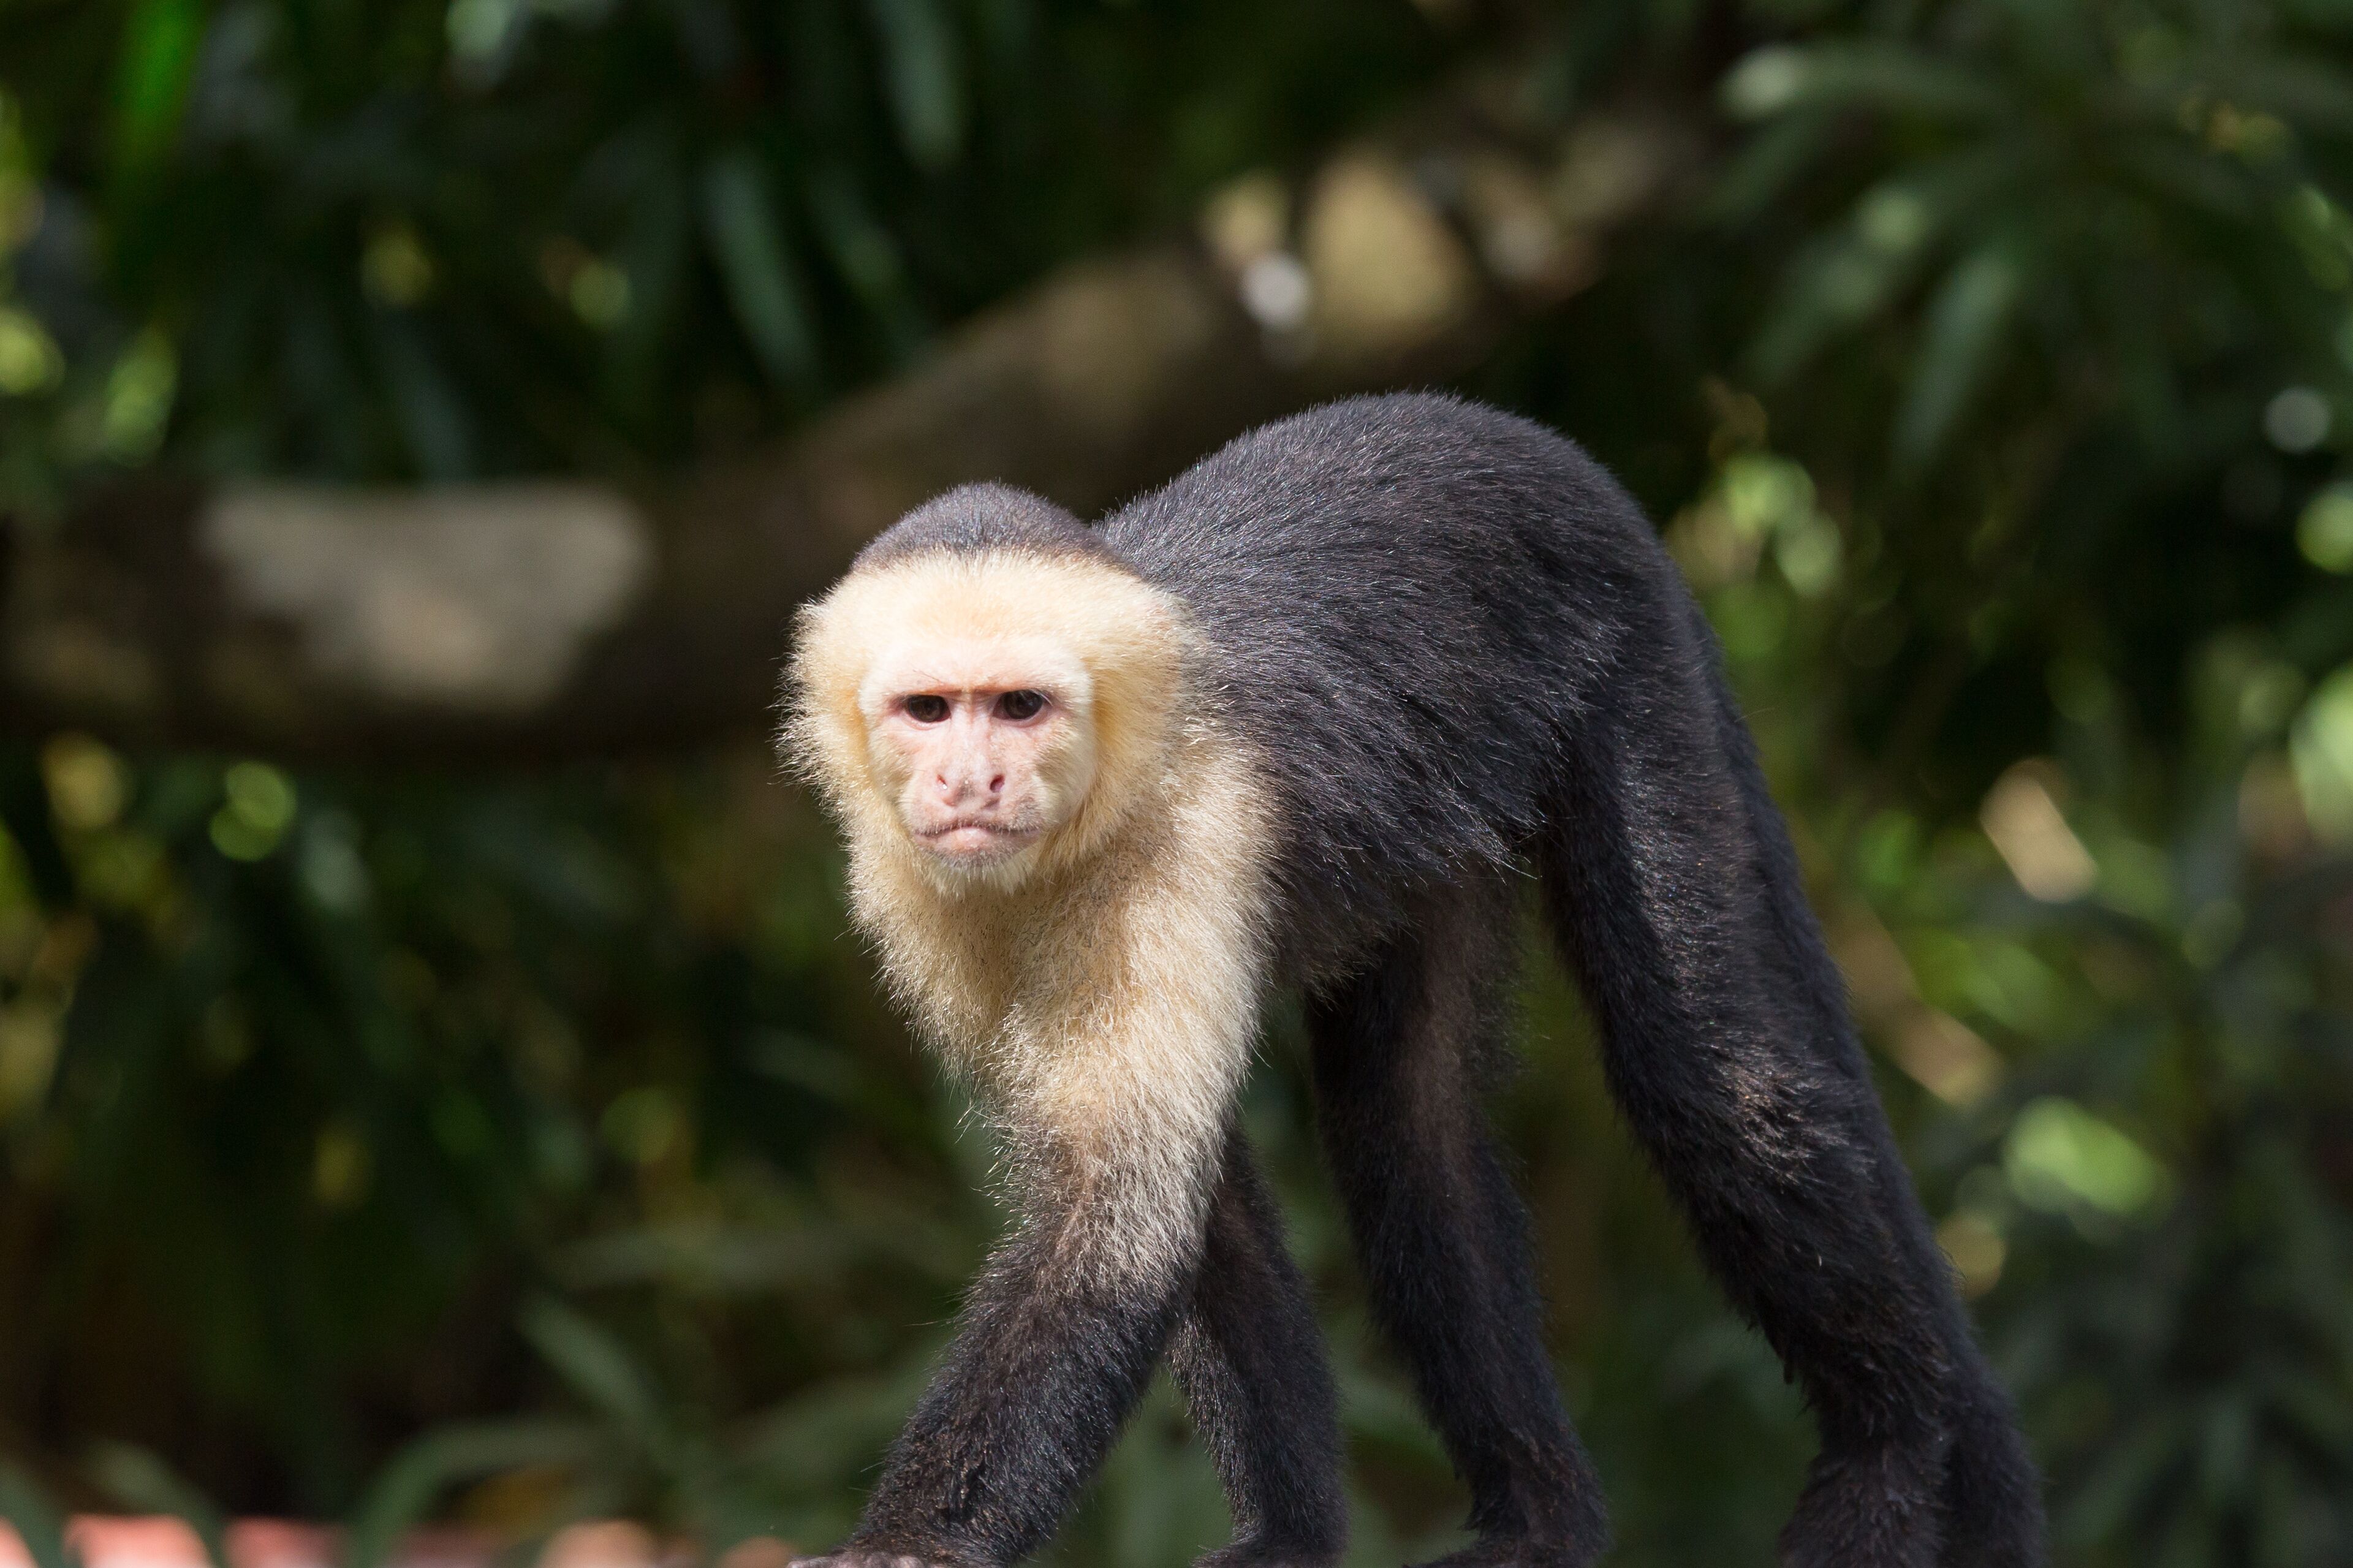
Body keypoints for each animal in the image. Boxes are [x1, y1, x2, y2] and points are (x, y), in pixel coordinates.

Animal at [779, 393, 2044, 1568]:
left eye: (1020, 706)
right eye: (929, 709)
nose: (972, 779)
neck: (1076, 833)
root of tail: (1552, 456)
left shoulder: (1186, 834)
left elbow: (1118, 1214)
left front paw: (909, 1543)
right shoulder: (908, 888)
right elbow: (1198, 1207)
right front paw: (1291, 1538)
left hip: (1626, 665)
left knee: (1709, 1077)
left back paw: (1893, 1445)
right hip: (1449, 805)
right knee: (1411, 1124)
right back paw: (1545, 1520)